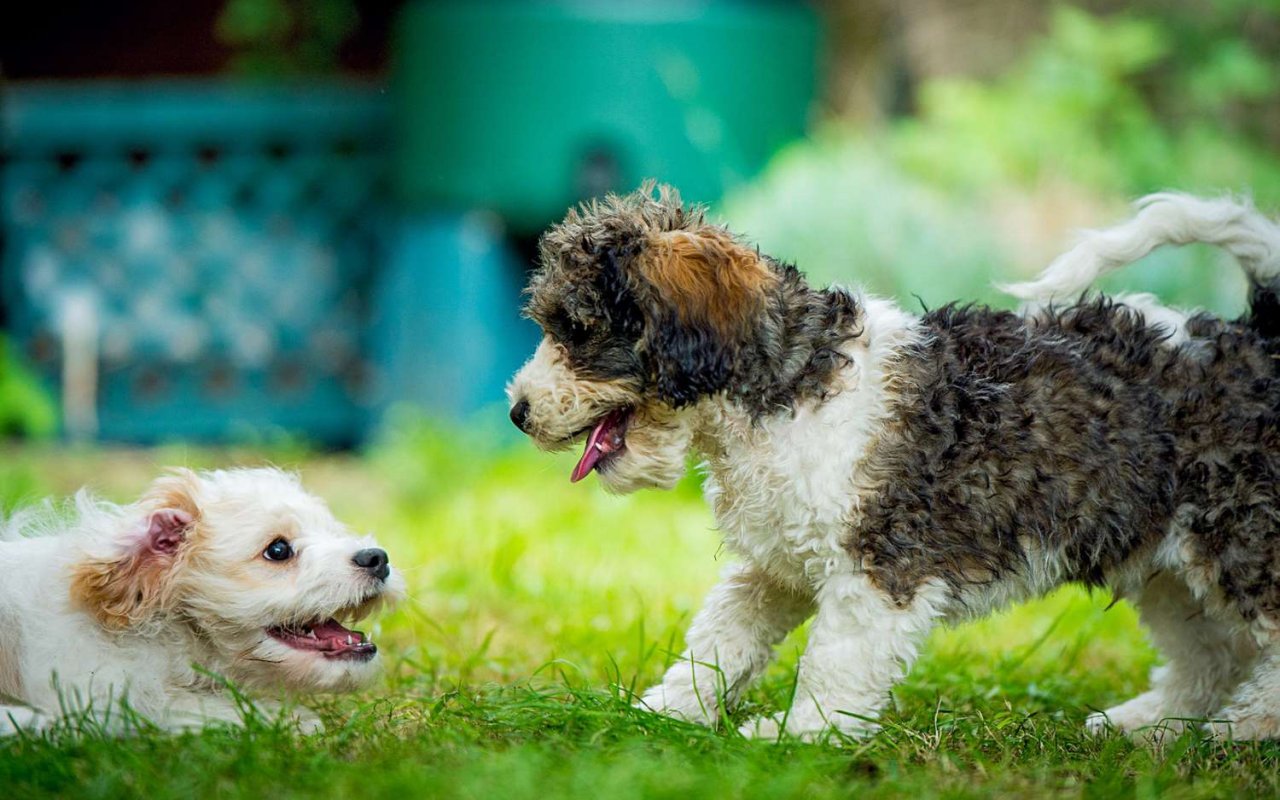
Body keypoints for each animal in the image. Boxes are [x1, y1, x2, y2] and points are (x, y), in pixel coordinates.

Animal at [0, 468, 399, 737]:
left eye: (332, 530)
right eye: (278, 550)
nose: (378, 558)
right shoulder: (96, 690)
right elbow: (169, 704)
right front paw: (289, 718)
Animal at [509, 184, 1280, 737]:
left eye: (578, 330)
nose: (517, 411)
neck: (781, 396)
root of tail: (1255, 336)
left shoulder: (878, 570)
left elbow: (832, 666)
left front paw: (797, 738)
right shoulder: (774, 567)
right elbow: (719, 643)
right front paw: (661, 717)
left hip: (1240, 541)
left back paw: (1240, 731)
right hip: (1165, 567)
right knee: (1211, 658)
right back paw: (1147, 726)